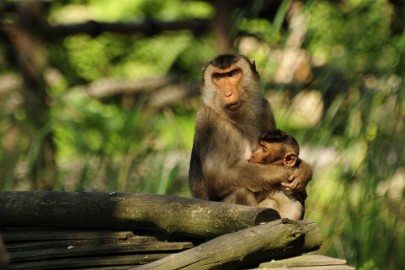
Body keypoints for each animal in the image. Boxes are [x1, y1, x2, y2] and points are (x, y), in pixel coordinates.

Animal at [189, 53, 312, 204]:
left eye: (233, 74)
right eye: (218, 77)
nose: (228, 94)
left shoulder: (265, 108)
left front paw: (304, 172)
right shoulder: (211, 121)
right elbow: (218, 176)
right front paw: (284, 172)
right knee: (240, 190)